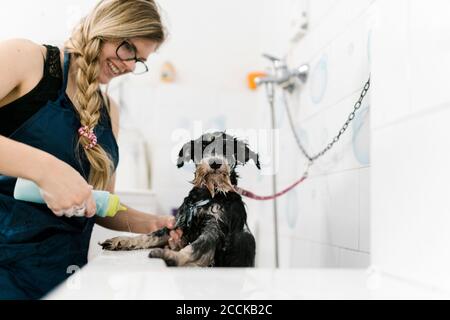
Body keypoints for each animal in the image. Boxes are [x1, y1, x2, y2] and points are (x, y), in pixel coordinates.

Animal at [100, 131, 258, 266]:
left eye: (228, 148)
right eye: (203, 147)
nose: (215, 162)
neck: (208, 195)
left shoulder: (214, 228)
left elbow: (194, 247)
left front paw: (172, 256)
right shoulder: (179, 223)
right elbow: (150, 235)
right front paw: (123, 240)